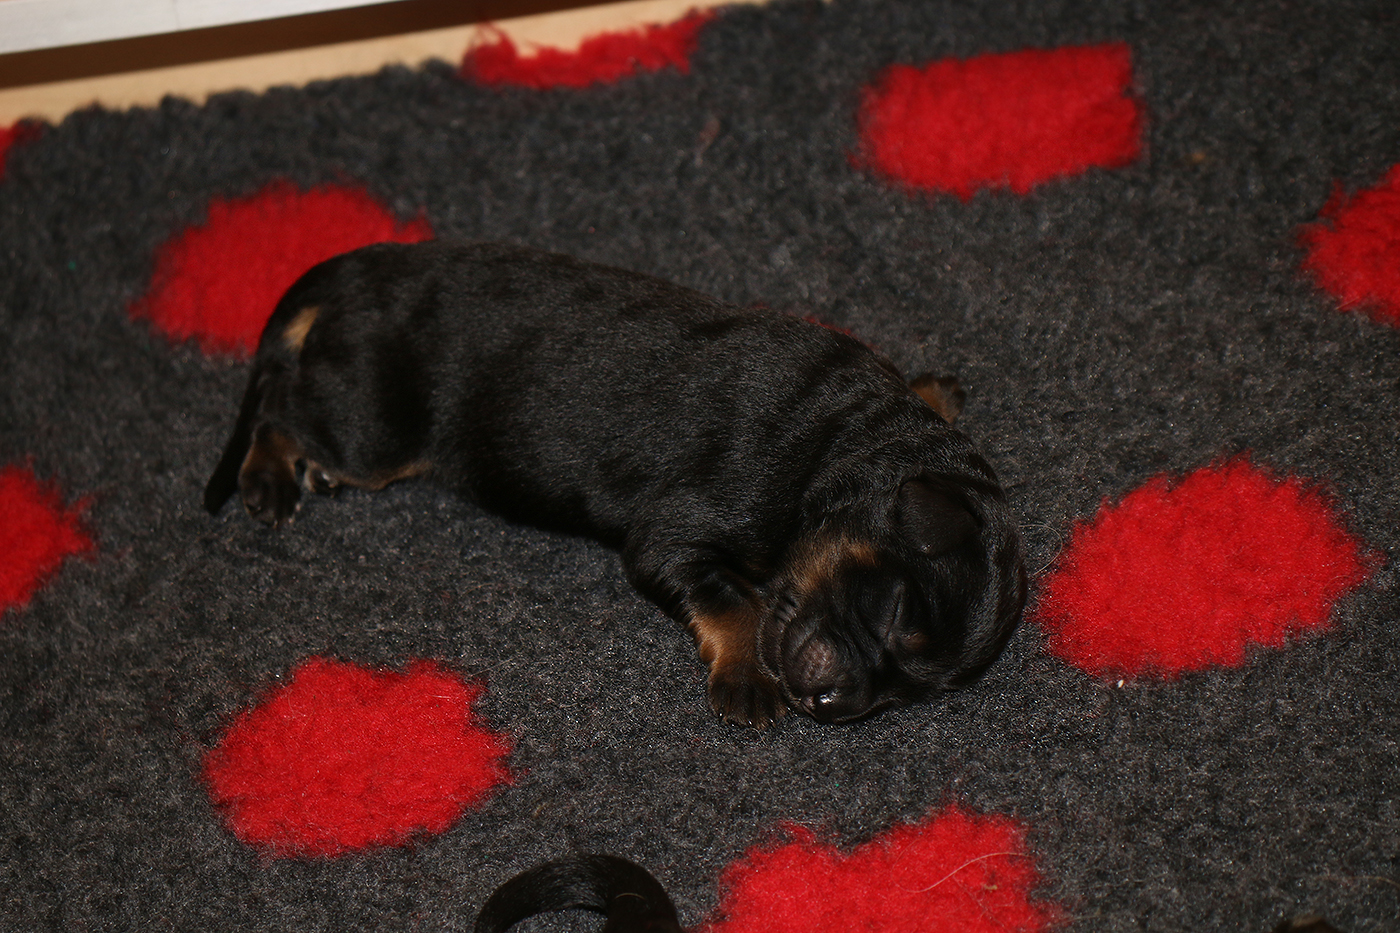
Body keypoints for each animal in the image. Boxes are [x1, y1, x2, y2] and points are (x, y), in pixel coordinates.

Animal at [204, 241, 1026, 727]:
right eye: (897, 613)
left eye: (913, 689)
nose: (830, 702)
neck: (841, 441)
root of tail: (364, 268)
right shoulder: (673, 533)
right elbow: (734, 598)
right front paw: (747, 676)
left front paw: (935, 387)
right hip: (374, 426)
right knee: (280, 403)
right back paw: (269, 479)